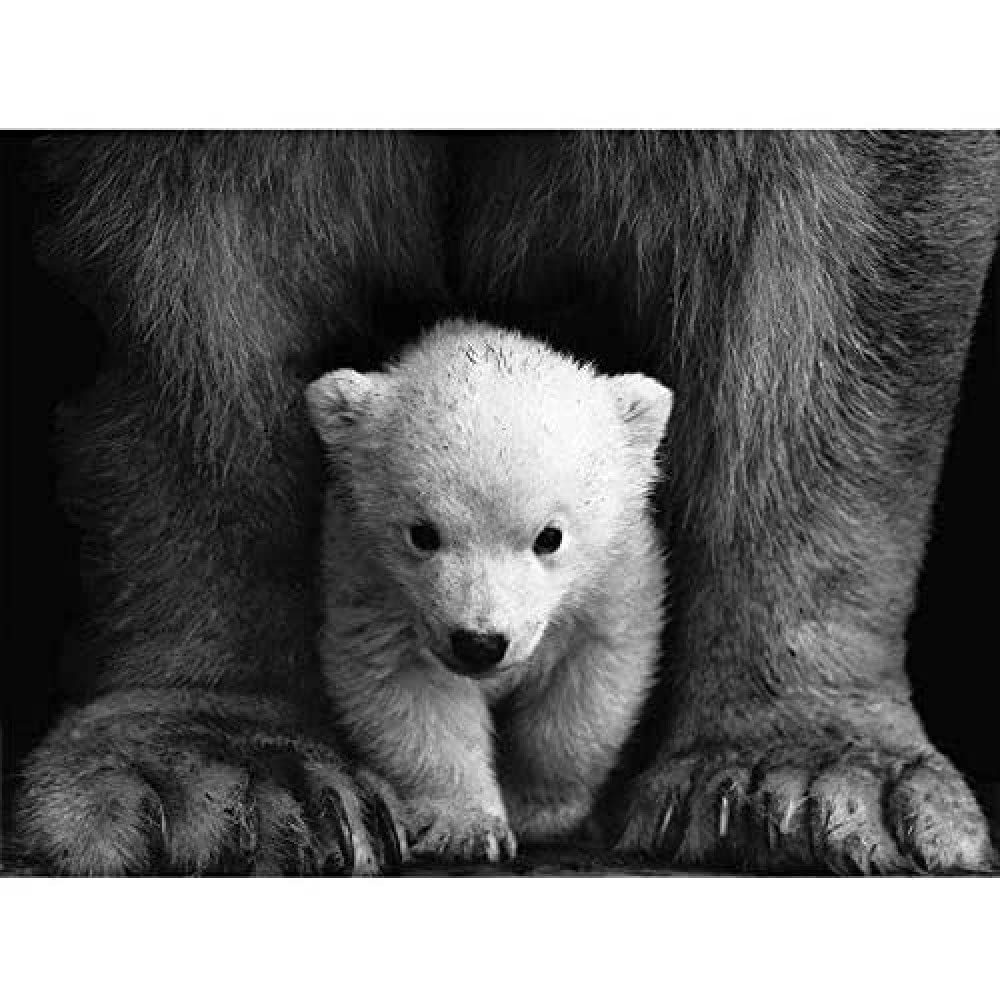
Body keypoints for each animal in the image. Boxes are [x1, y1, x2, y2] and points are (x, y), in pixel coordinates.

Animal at [305, 320, 673, 862]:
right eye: (422, 533)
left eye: (549, 537)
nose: (479, 644)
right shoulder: (372, 584)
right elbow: (410, 692)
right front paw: (467, 827)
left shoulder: (613, 581)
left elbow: (588, 689)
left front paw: (541, 810)